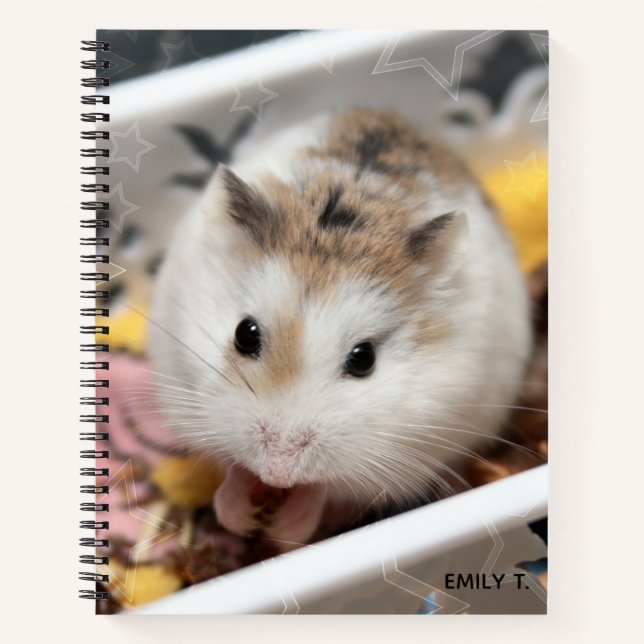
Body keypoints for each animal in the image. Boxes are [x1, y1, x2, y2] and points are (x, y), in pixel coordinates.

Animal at [149, 108, 532, 549]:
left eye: (364, 360)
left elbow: (323, 489)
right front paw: (240, 516)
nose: (278, 471)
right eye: (244, 334)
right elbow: (234, 467)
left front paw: (283, 527)